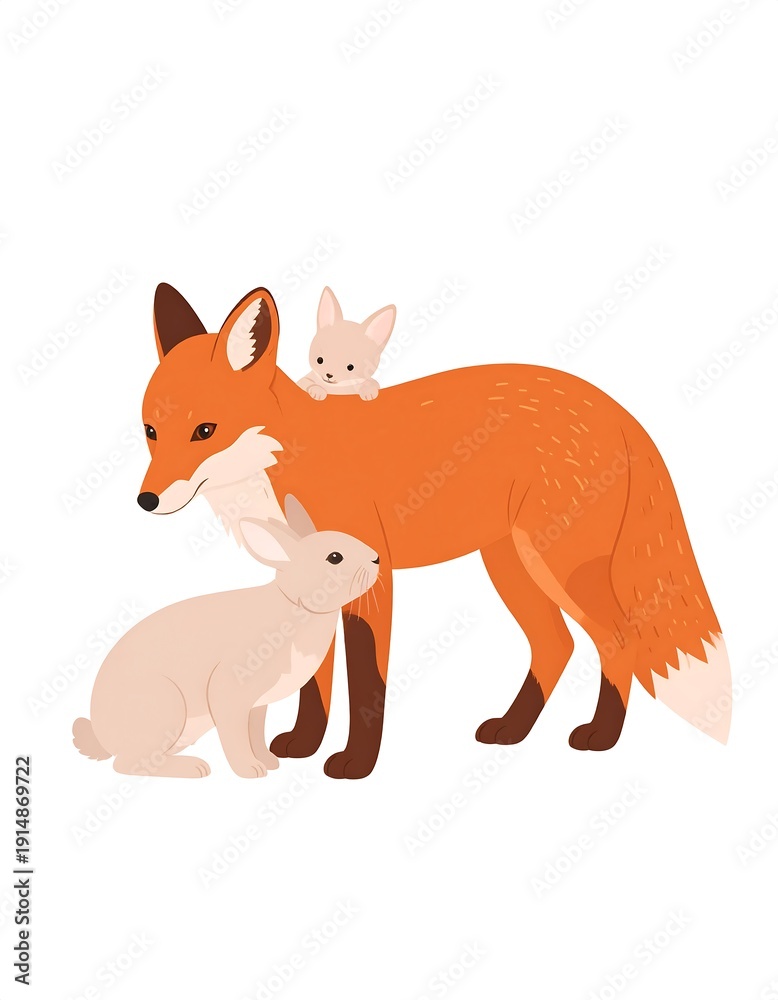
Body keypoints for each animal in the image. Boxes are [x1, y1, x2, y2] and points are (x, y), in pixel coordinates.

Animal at [73, 496, 380, 778]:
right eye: (335, 557)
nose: (376, 558)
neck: (296, 604)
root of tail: (102, 735)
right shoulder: (230, 693)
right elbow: (235, 735)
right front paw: (250, 770)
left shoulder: (257, 705)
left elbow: (254, 732)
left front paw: (268, 762)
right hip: (164, 706)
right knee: (129, 764)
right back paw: (194, 768)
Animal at [137, 282, 731, 779]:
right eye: (150, 431)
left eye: (205, 431)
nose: (146, 501)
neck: (292, 457)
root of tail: (617, 408)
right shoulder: (310, 575)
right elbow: (316, 680)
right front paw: (303, 744)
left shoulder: (372, 575)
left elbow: (366, 680)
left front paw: (356, 763)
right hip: (510, 563)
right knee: (555, 645)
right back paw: (513, 730)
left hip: (558, 563)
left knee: (618, 639)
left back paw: (601, 737)